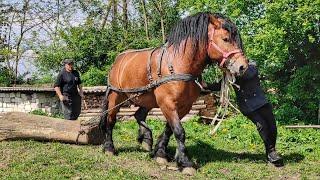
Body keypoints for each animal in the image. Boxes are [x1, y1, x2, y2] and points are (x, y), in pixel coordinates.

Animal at [99, 12, 249, 173]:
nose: (242, 66)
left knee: (138, 115)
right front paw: (185, 162)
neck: (179, 64)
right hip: (116, 96)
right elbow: (179, 131)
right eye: (225, 39)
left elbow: (169, 129)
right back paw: (109, 148)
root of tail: (118, 60)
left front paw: (160, 153)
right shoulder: (167, 103)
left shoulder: (184, 106)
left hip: (147, 99)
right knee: (111, 120)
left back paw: (146, 139)